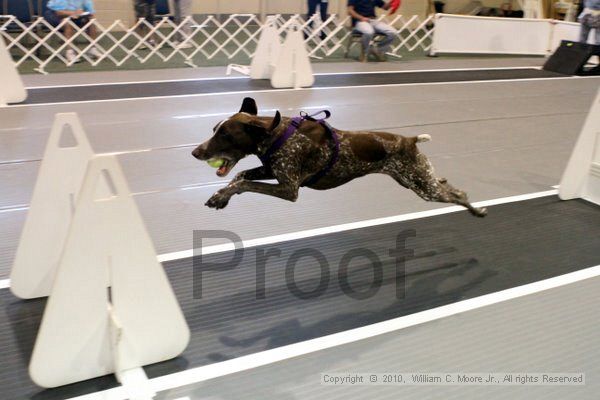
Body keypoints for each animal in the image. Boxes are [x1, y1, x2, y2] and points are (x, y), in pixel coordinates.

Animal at [192, 97, 488, 217]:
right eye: (214, 129)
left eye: (225, 135)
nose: (195, 152)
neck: (276, 134)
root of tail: (410, 140)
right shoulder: (272, 171)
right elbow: (239, 177)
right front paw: (220, 196)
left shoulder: (289, 188)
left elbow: (243, 182)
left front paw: (221, 195)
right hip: (417, 180)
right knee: (450, 186)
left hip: (423, 186)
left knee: (458, 194)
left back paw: (478, 210)